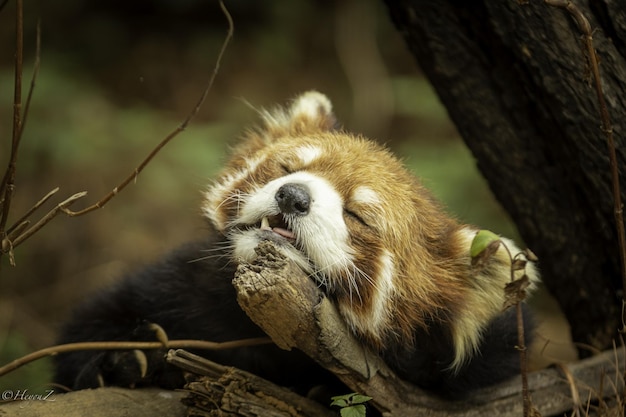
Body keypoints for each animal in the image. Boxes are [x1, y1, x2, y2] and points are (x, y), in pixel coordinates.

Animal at [56, 91, 540, 396]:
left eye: (357, 215)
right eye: (287, 168)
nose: (293, 196)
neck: (257, 327)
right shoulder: (181, 285)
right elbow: (86, 327)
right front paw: (121, 361)